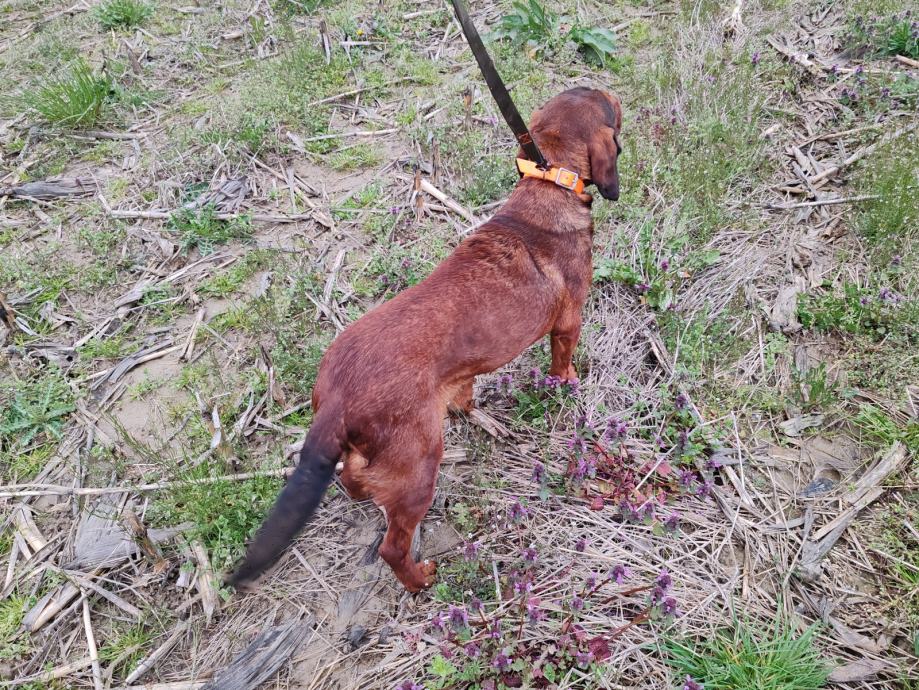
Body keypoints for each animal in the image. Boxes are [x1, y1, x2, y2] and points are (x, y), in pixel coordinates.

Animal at [229, 87, 623, 592]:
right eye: (613, 107)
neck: (548, 183)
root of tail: (335, 399)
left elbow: (465, 389)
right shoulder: (568, 324)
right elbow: (562, 365)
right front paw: (569, 384)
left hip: (380, 461)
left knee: (352, 478)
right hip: (419, 469)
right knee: (392, 547)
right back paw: (420, 579)